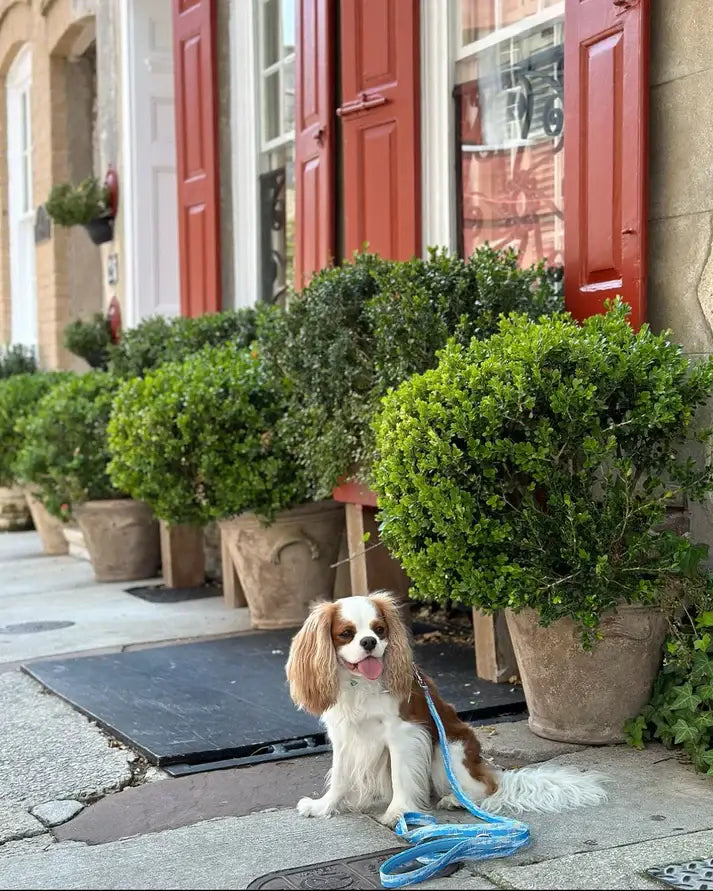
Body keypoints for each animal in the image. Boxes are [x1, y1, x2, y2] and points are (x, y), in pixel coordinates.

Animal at [286, 592, 608, 828]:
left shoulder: (404, 735)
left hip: (447, 752)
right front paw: (323, 807)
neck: (361, 684)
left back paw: (457, 799)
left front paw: (398, 812)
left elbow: (401, 777)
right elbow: (340, 776)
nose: (369, 642)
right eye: (346, 633)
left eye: (380, 630)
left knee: (486, 789)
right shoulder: (345, 738)